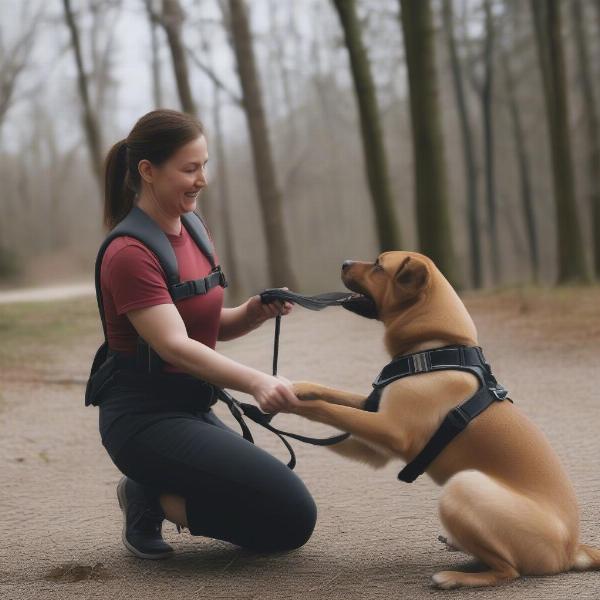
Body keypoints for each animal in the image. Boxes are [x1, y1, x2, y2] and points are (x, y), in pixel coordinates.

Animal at [290, 251, 600, 588]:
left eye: (378, 266)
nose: (344, 263)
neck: (436, 346)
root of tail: (571, 550)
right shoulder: (376, 435)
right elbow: (337, 398)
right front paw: (294, 387)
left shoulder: (390, 431)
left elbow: (330, 409)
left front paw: (285, 400)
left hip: (462, 486)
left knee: (507, 570)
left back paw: (453, 577)